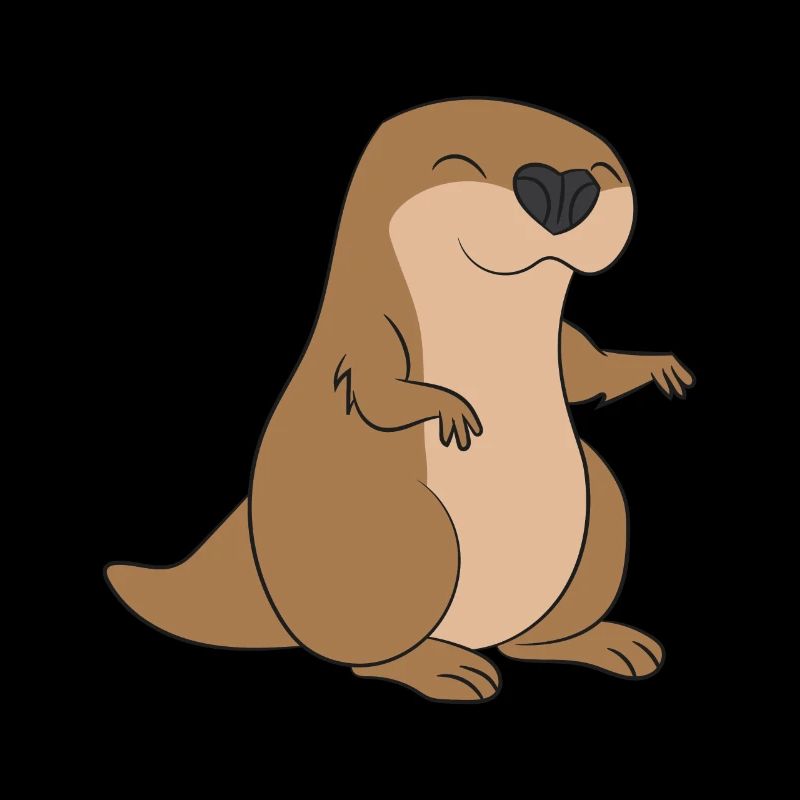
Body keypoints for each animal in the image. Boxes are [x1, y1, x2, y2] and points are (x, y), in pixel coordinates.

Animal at [106, 99, 694, 703]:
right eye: (457, 162)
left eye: (604, 168)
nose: (562, 184)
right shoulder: (370, 330)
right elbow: (376, 393)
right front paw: (449, 405)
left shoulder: (555, 344)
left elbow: (581, 367)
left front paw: (650, 364)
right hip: (403, 527)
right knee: (372, 651)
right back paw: (438, 666)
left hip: (600, 512)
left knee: (534, 632)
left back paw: (596, 642)